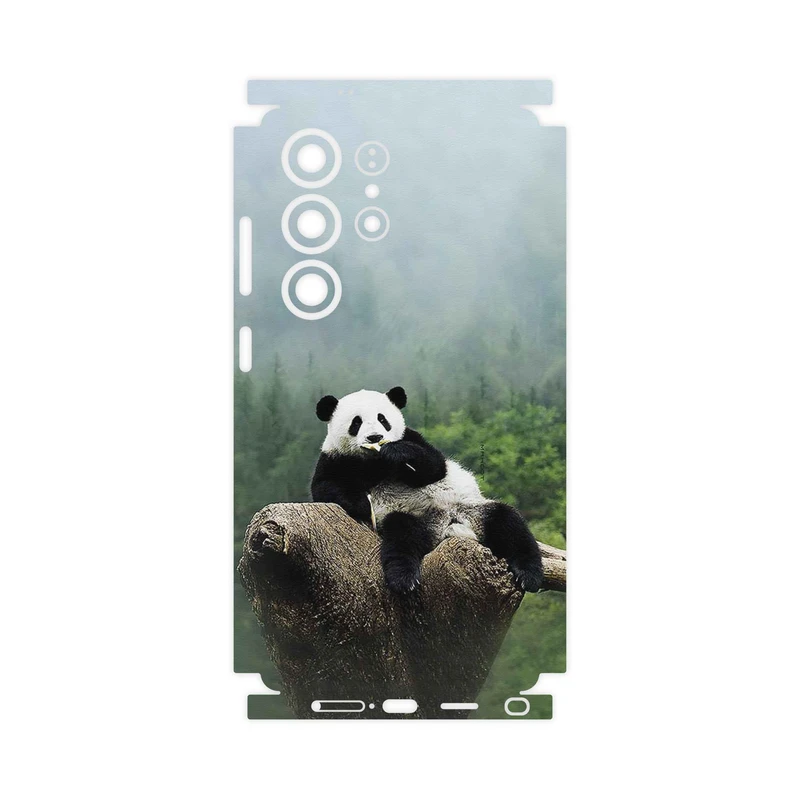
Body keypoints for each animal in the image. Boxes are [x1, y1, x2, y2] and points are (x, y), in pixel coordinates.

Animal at [311, 386, 544, 594]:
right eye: (356, 422)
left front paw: (396, 452)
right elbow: (325, 488)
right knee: (402, 536)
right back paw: (403, 579)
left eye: (382, 419)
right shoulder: (335, 459)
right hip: (416, 519)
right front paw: (362, 504)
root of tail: (448, 524)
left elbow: (435, 466)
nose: (375, 438)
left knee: (508, 523)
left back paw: (529, 575)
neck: (374, 461)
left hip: (473, 509)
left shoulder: (412, 437)